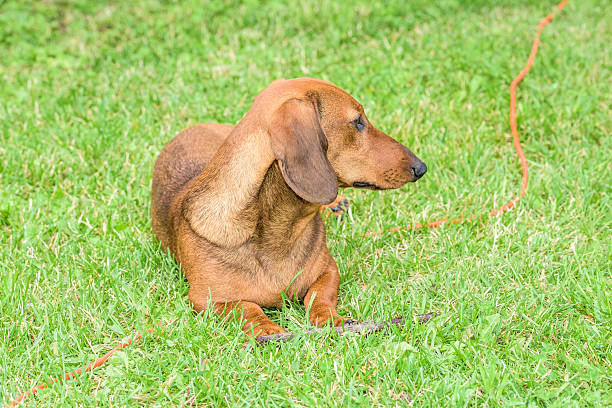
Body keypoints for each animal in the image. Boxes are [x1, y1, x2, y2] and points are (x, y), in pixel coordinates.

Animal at [150, 78, 426, 336]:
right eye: (357, 121)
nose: (421, 167)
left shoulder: (328, 270)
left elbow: (319, 297)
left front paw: (332, 320)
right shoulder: (206, 300)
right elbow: (247, 308)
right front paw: (268, 330)